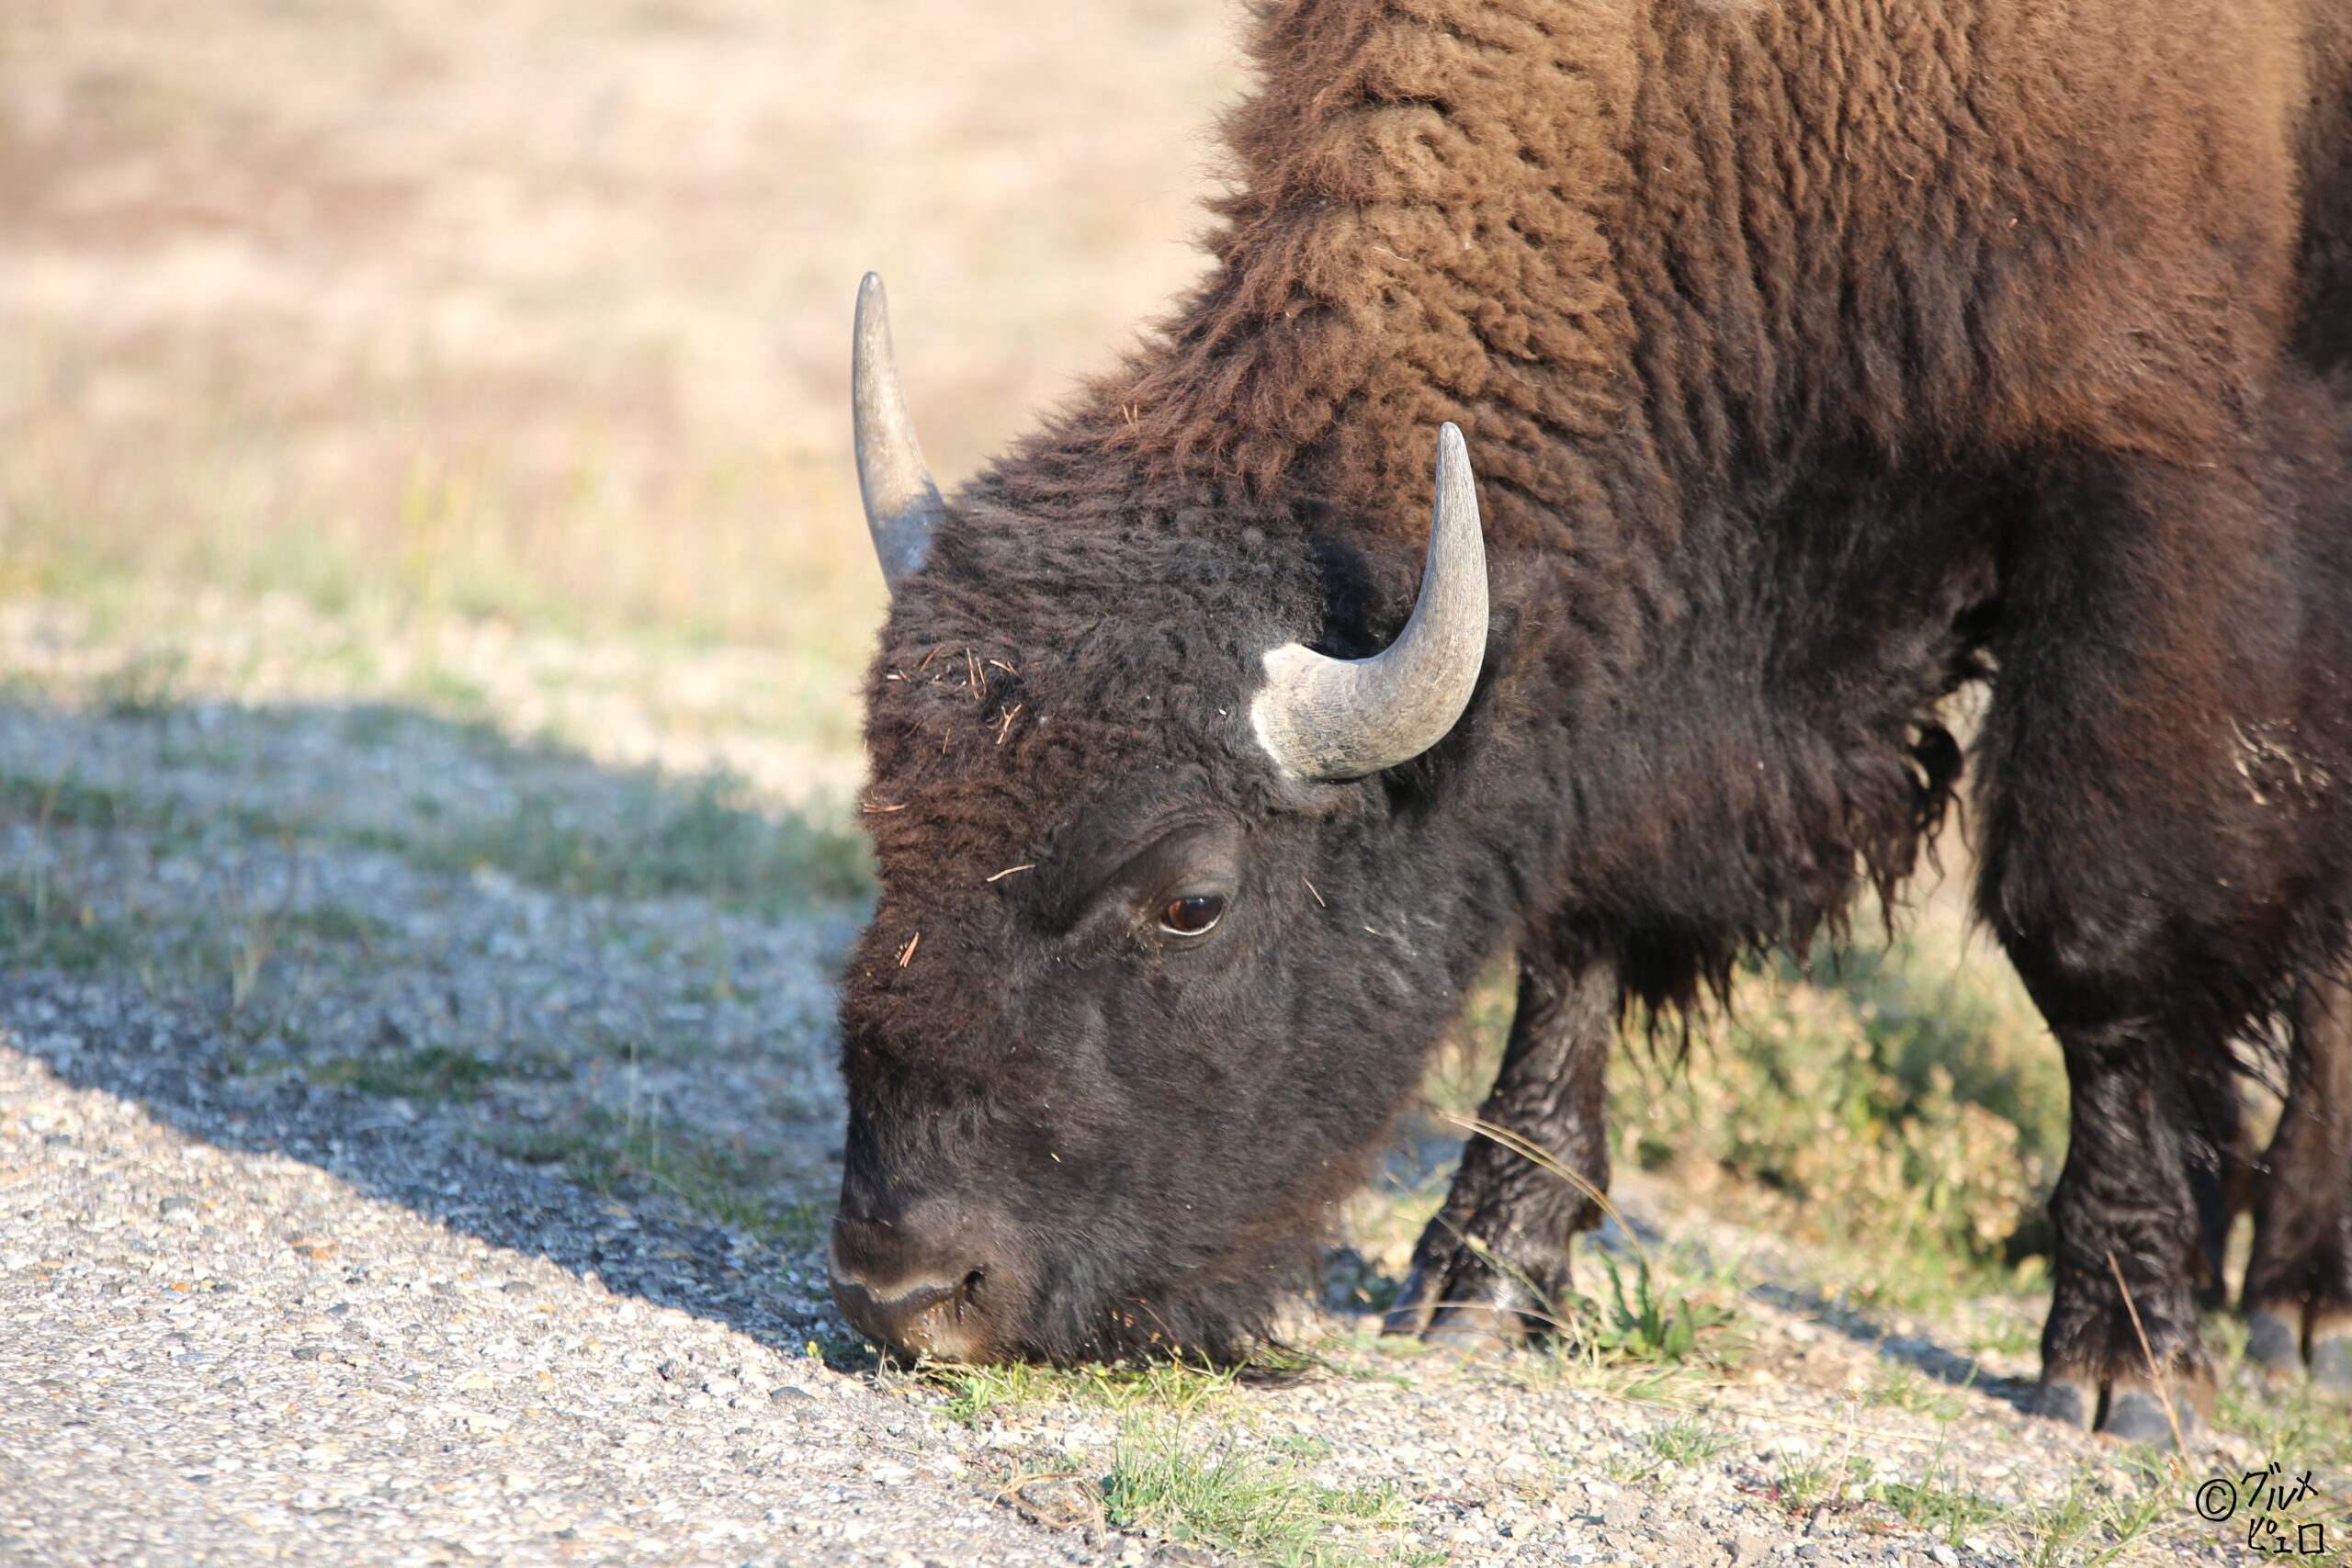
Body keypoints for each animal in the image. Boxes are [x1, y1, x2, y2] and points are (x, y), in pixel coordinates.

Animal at [828, 0, 2352, 1448]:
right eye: (886, 821)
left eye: (1194, 897)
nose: (908, 1289)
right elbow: (1577, 931)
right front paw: (1480, 1280)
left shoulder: (2149, 493)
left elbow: (2098, 938)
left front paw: (2124, 1364)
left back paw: (2300, 1304)